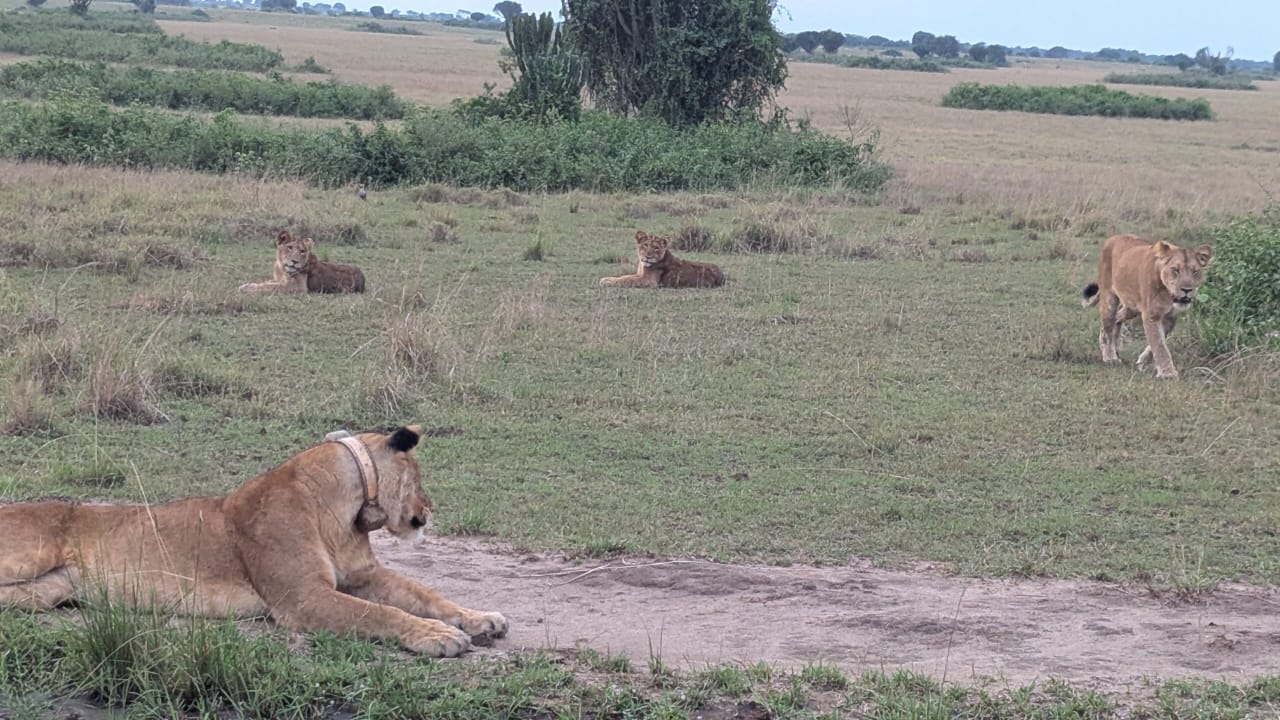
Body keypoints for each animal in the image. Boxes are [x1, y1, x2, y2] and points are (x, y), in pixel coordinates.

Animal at [0, 426, 506, 657]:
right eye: (418, 476)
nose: (431, 507)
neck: (345, 512)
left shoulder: (362, 575)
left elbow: (424, 594)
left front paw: (481, 618)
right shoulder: (302, 599)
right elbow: (379, 614)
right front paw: (439, 636)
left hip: (50, 590)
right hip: (29, 555)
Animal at [238, 231, 366, 295]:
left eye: (302, 251)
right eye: (290, 247)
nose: (295, 261)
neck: (282, 268)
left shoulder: (296, 287)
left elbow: (271, 287)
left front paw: (246, 289)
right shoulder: (280, 280)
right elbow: (267, 283)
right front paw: (248, 285)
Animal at [1081, 234, 1212, 379]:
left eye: (1195, 272)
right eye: (1175, 270)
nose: (1187, 290)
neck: (1168, 295)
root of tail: (1113, 237)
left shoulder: (1171, 317)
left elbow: (1160, 340)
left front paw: (1143, 362)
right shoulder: (1152, 315)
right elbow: (1159, 344)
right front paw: (1168, 373)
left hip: (1131, 306)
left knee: (1118, 317)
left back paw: (1115, 347)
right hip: (1109, 297)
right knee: (1108, 325)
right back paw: (1110, 357)